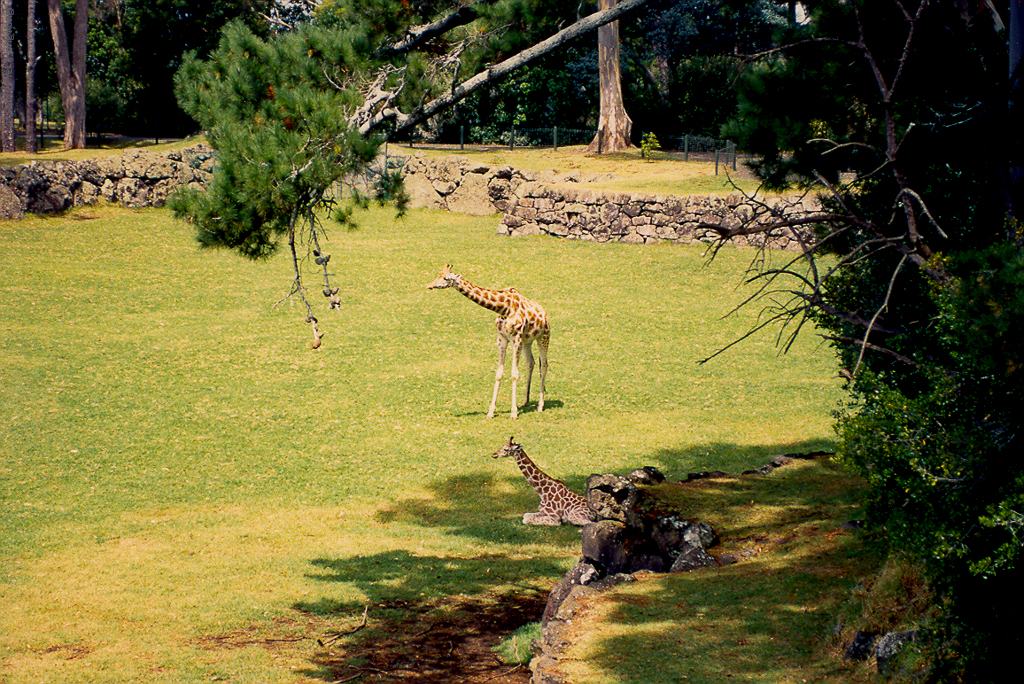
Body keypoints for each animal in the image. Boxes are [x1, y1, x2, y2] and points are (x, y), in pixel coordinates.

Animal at [425, 264, 552, 419]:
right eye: (438, 274)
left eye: (446, 278)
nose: (429, 285)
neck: (504, 308)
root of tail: (544, 313)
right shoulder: (502, 339)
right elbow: (499, 373)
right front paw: (491, 412)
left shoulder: (516, 338)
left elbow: (514, 374)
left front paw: (513, 413)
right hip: (528, 340)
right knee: (531, 363)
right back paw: (525, 401)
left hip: (543, 336)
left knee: (544, 365)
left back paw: (540, 406)